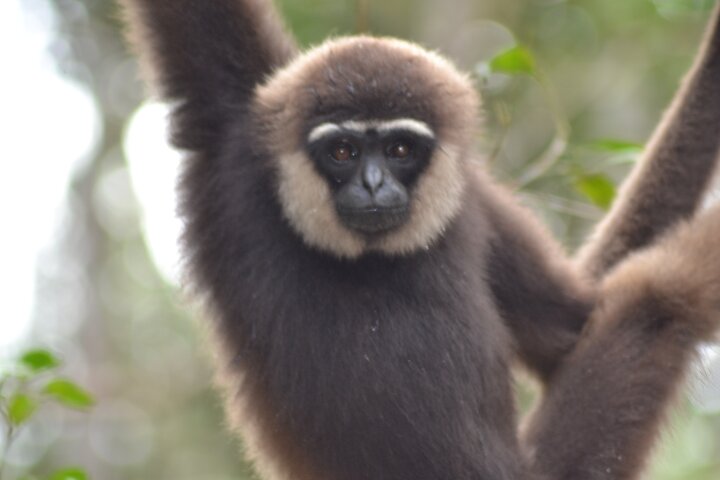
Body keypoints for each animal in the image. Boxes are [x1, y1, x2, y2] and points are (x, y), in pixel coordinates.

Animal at [119, 1, 720, 479]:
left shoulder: (472, 201)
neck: (373, 260)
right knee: (661, 293)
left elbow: (573, 324)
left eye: (400, 150)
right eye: (343, 152)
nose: (372, 183)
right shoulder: (236, 146)